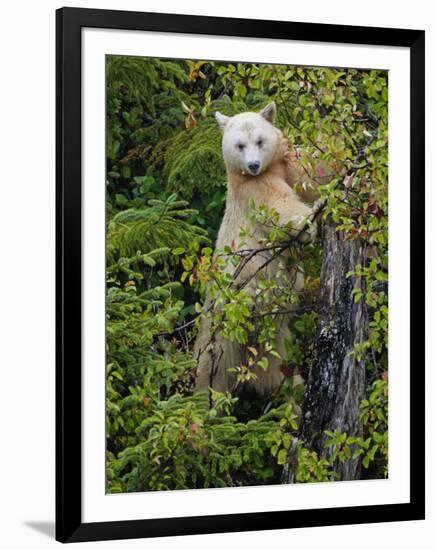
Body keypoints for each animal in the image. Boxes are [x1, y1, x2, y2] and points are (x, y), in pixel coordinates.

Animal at [194, 102, 316, 396]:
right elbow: (278, 204)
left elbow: (310, 170)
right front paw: (307, 225)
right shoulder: (252, 189)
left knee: (277, 367)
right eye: (239, 145)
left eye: (260, 141)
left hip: (272, 338)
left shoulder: (284, 163)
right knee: (209, 369)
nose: (252, 165)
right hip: (222, 322)